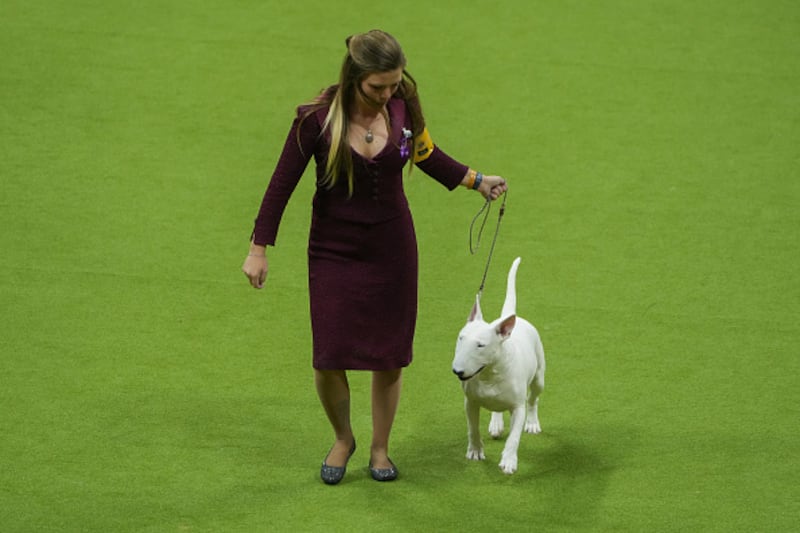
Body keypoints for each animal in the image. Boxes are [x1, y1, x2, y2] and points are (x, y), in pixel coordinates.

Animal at [450, 258, 544, 474]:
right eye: (461, 338)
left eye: (480, 345)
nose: (457, 371)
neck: (489, 374)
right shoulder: (470, 402)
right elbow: (473, 428)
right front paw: (475, 451)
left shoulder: (518, 407)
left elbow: (514, 437)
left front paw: (509, 461)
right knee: (497, 407)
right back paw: (496, 423)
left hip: (539, 376)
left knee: (533, 398)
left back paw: (532, 423)